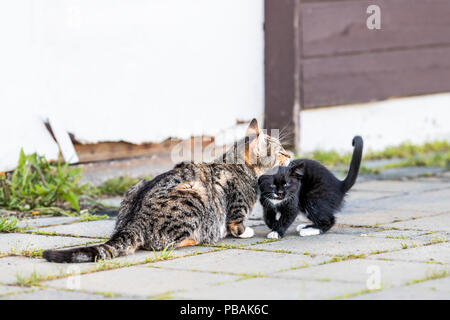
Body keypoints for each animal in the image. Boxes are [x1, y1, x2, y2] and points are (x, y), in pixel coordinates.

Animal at [44, 119, 290, 262]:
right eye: (280, 151)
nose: (289, 154)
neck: (235, 165)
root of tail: (132, 222)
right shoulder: (237, 208)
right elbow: (236, 223)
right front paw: (244, 232)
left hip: (138, 185)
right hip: (193, 195)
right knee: (161, 244)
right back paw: (200, 238)